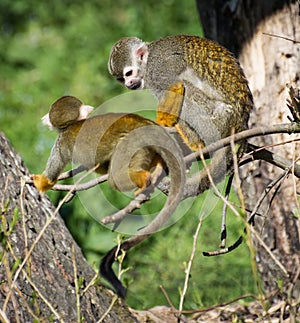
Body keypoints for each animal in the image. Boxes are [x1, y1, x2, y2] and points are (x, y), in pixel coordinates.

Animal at [31, 95, 184, 298]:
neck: (73, 125)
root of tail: (144, 123)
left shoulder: (60, 143)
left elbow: (50, 178)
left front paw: (38, 182)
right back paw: (155, 169)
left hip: (130, 145)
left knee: (115, 178)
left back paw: (144, 179)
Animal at [108, 34, 253, 195]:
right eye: (122, 79)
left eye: (129, 73)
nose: (128, 83)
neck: (148, 59)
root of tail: (242, 122)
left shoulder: (157, 67)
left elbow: (174, 86)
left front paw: (159, 125)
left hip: (221, 118)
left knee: (185, 88)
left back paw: (196, 143)